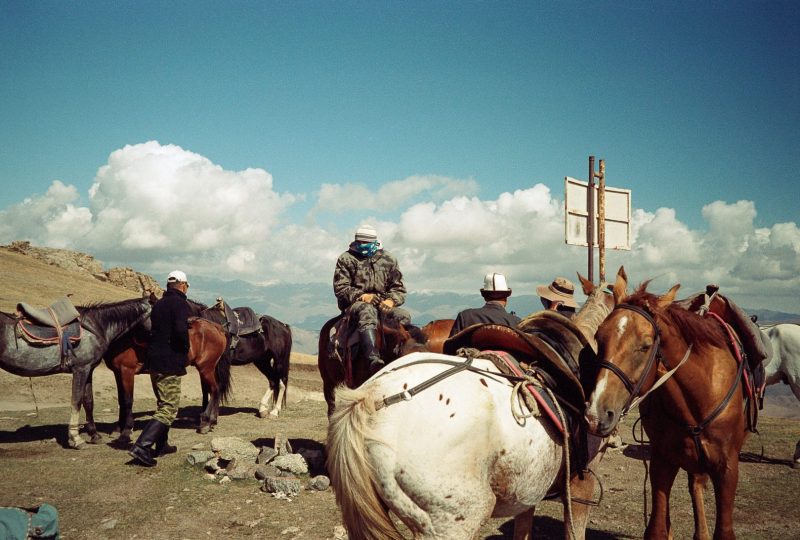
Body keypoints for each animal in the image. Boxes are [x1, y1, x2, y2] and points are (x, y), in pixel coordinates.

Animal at [0, 298, 152, 450]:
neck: (96, 326)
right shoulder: (81, 369)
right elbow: (77, 401)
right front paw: (76, 438)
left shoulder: (89, 369)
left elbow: (88, 401)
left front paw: (94, 435)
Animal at [103, 316, 231, 442]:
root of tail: (216, 327)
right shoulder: (118, 373)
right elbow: (121, 400)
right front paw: (118, 429)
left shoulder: (127, 371)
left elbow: (127, 400)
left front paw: (126, 431)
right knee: (216, 390)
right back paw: (212, 421)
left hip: (206, 368)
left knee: (214, 390)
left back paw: (205, 423)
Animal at [580, 278, 752, 540]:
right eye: (599, 338)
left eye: (645, 346)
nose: (595, 415)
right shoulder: (662, 460)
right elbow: (658, 528)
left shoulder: (728, 468)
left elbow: (724, 531)